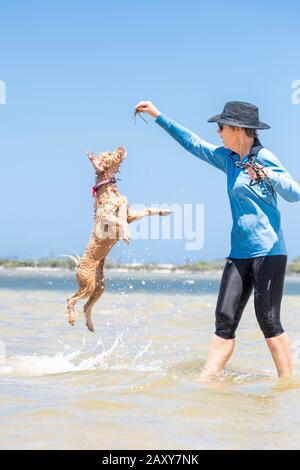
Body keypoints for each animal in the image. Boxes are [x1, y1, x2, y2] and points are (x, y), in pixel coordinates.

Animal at [67, 149, 172, 332]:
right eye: (109, 154)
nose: (122, 147)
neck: (108, 190)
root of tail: (78, 264)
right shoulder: (107, 218)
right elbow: (121, 216)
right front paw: (126, 235)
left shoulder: (131, 215)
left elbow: (145, 209)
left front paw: (164, 211)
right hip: (88, 284)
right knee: (70, 300)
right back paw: (72, 319)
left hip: (99, 286)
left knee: (86, 306)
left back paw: (90, 325)